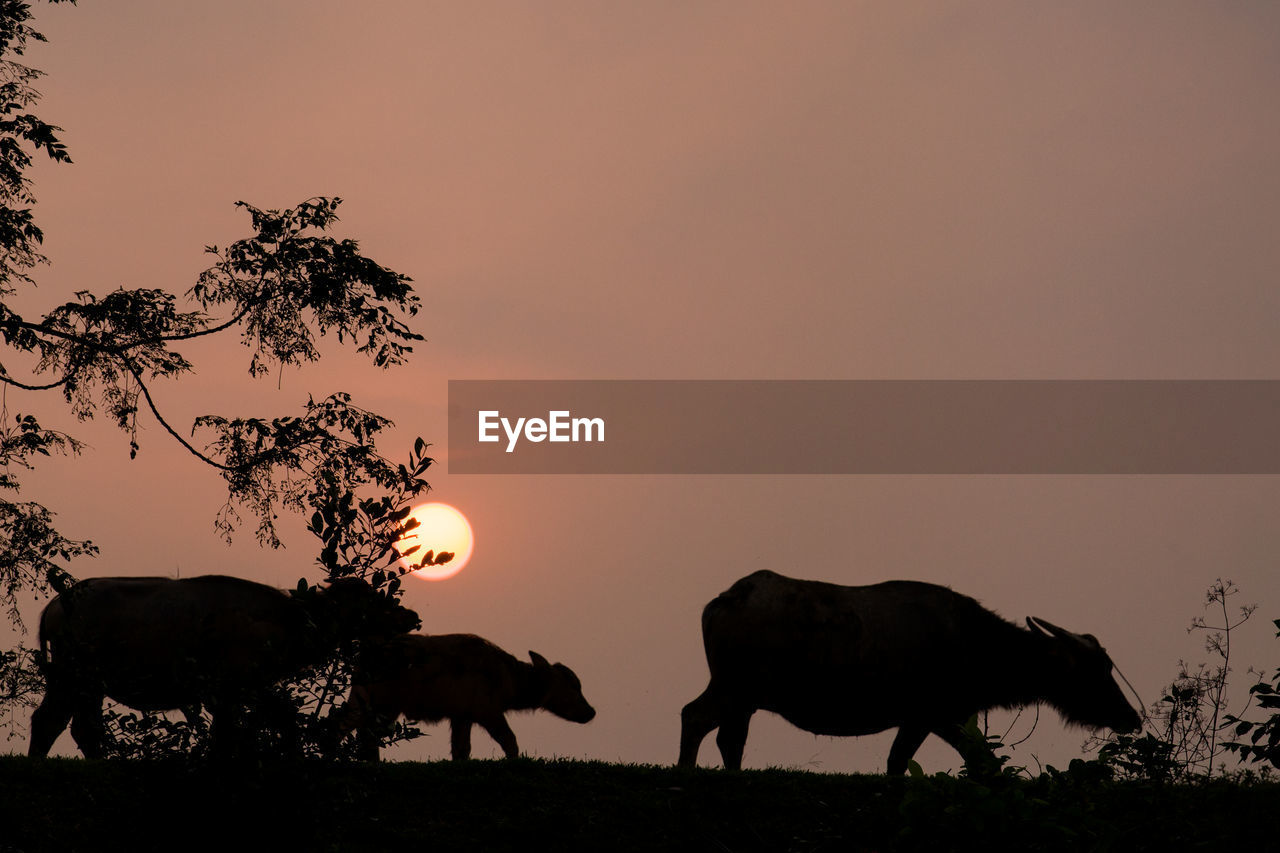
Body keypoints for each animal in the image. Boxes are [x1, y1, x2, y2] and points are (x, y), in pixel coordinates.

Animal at [28, 573, 419, 753]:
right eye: (373, 600)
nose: (410, 615)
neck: (290, 628)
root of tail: (53, 609)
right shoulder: (233, 687)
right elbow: (251, 729)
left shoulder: (235, 692)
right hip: (74, 675)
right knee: (50, 722)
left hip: (86, 682)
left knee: (81, 728)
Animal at [332, 630, 596, 758]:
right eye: (573, 685)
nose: (591, 712)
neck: (507, 678)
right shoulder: (487, 711)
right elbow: (509, 740)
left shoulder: (461, 716)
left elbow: (461, 750)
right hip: (380, 703)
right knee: (355, 730)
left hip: (367, 701)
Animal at [680, 568, 1141, 773]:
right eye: (1096, 669)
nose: (1131, 717)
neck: (975, 645)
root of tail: (723, 600)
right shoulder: (931, 714)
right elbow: (957, 762)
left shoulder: (930, 718)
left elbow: (930, 762)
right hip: (733, 687)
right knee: (694, 717)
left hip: (744, 698)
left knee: (728, 737)